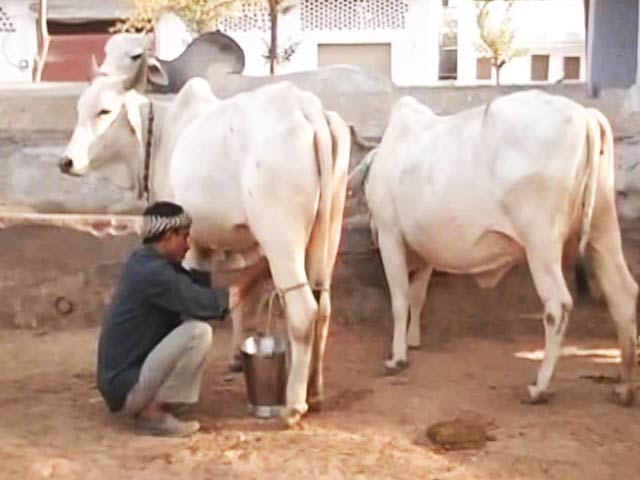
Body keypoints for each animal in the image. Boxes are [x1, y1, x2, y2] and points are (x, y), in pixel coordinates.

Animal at [58, 72, 351, 426]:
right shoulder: (245, 244)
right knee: (323, 307)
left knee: (303, 310)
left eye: (104, 111)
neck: (163, 137)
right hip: (328, 232)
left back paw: (293, 405)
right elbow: (244, 299)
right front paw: (239, 356)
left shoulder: (192, 246)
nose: (67, 161)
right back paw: (314, 391)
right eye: (80, 108)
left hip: (281, 237)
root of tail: (306, 107)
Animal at [349, 91, 638, 406]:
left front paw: (397, 358)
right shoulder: (425, 250)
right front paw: (413, 342)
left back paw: (539, 387)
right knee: (622, 294)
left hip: (540, 240)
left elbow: (400, 299)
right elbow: (417, 295)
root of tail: (586, 115)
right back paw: (623, 385)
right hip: (602, 225)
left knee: (557, 306)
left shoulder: (390, 234)